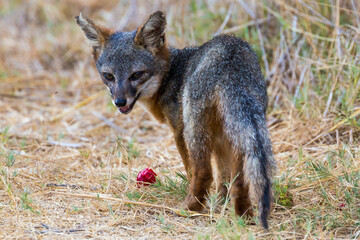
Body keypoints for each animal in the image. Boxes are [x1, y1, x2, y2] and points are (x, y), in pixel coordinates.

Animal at [76, 11, 276, 229]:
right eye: (108, 76)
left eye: (136, 75)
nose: (120, 102)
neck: (171, 73)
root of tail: (231, 61)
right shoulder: (221, 139)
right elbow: (224, 178)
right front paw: (220, 205)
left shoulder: (179, 131)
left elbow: (191, 171)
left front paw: (205, 203)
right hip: (238, 132)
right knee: (239, 180)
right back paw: (243, 216)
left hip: (194, 131)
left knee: (204, 172)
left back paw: (189, 208)